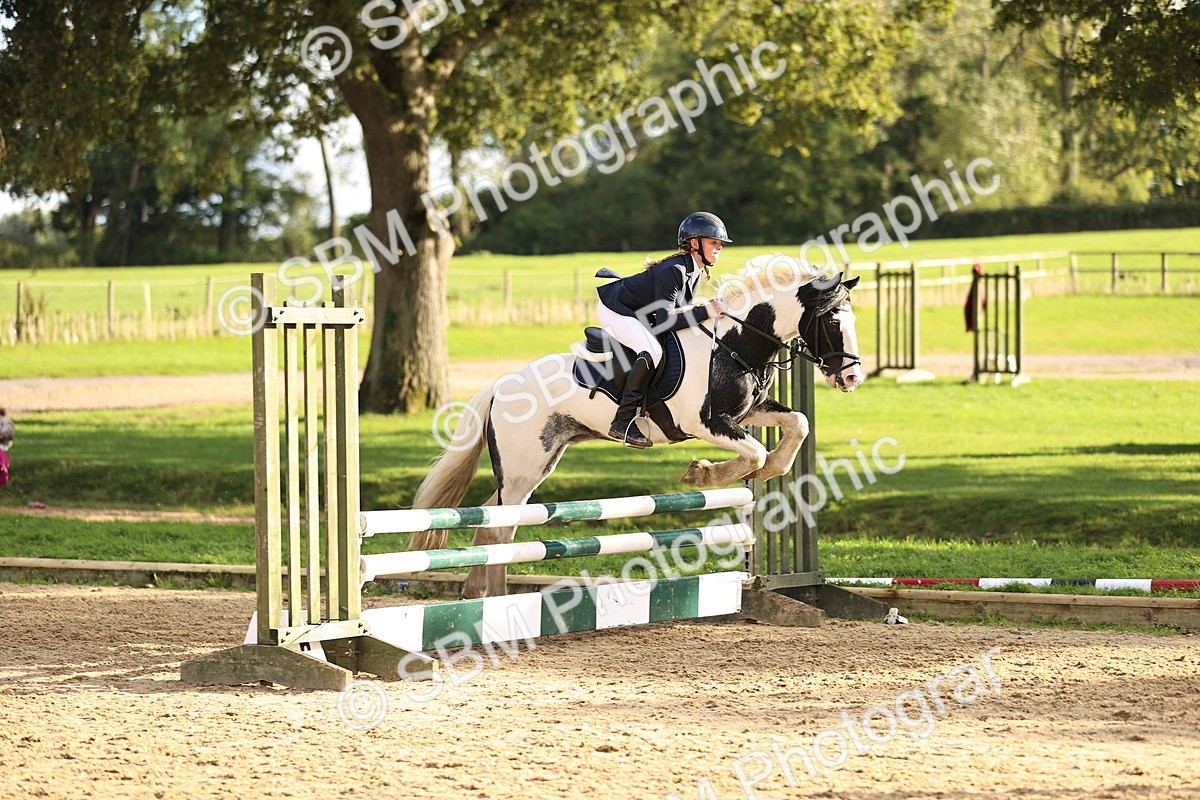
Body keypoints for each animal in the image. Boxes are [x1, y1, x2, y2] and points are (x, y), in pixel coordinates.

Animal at [409, 257, 865, 598]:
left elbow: (797, 424)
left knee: (494, 521)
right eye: (831, 322)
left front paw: (769, 469)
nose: (851, 378)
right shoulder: (704, 422)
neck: (734, 343)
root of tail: (499, 385)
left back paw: (479, 595)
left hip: (536, 465)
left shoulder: (745, 414)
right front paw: (704, 473)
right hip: (523, 468)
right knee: (500, 527)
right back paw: (494, 602)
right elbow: (752, 452)